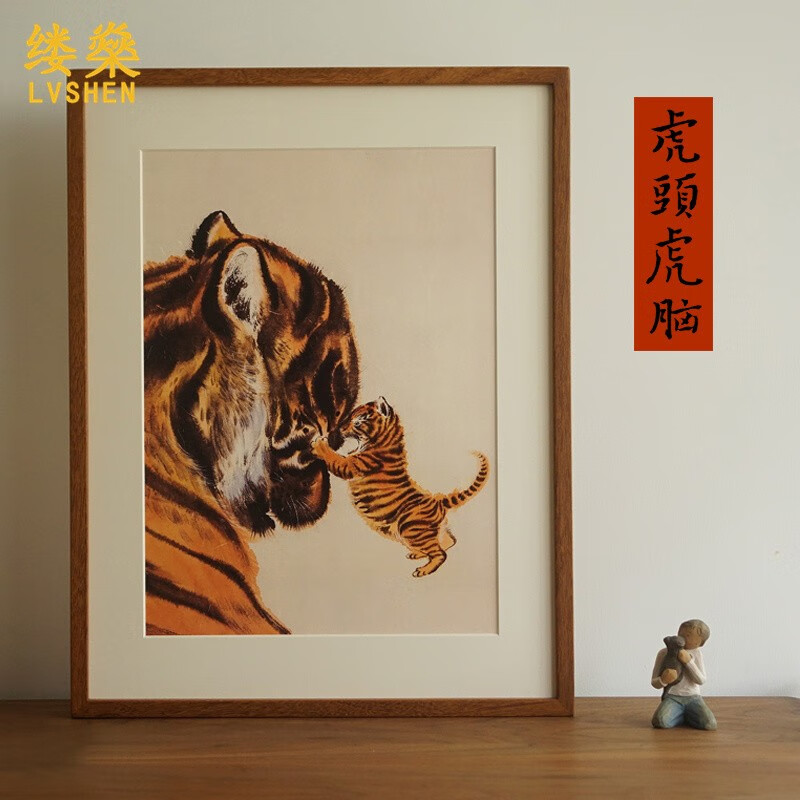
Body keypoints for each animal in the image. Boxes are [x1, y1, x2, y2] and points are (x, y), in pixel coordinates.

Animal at [311, 397, 489, 577]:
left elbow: (335, 458)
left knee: (440, 552)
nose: (339, 428)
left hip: (412, 528)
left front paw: (319, 443)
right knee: (449, 541)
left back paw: (423, 570)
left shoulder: (353, 465)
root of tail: (437, 501)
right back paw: (416, 554)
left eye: (358, 420)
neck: (386, 441)